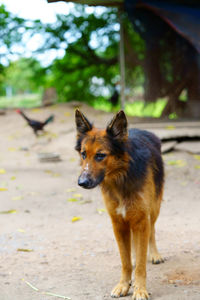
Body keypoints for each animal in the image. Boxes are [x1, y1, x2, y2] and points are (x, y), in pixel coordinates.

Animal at [75, 110, 164, 300]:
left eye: (100, 155)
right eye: (84, 154)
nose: (81, 182)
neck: (121, 178)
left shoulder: (141, 220)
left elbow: (141, 265)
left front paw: (140, 289)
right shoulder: (118, 223)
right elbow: (125, 261)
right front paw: (124, 284)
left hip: (154, 209)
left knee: (152, 231)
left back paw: (154, 254)